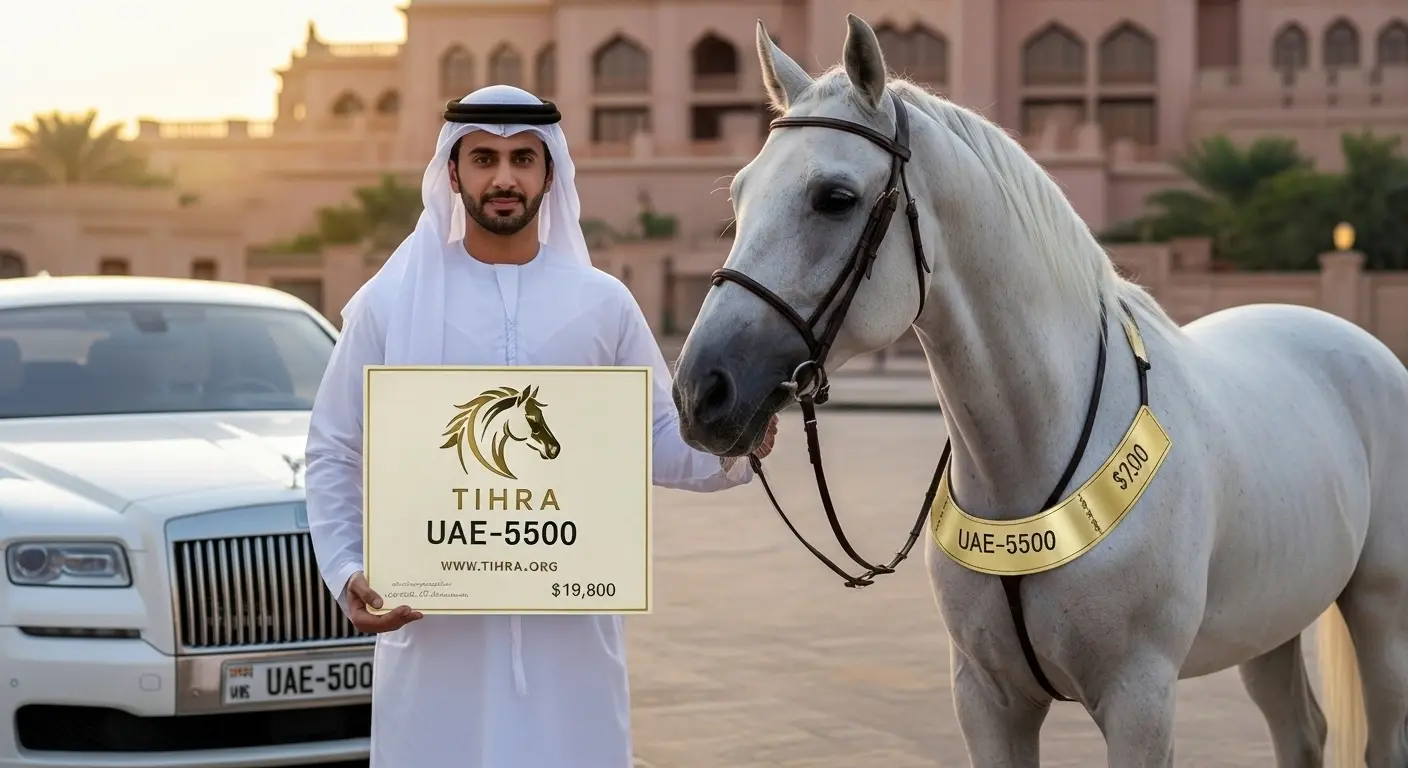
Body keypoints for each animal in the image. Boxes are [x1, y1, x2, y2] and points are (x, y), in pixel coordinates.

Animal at [670, 15, 1408, 767]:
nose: (702, 391)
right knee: (1301, 730)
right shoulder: (988, 697)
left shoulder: (1140, 699)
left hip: (1381, 615)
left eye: (835, 198)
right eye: (739, 193)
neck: (1033, 459)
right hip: (1270, 619)